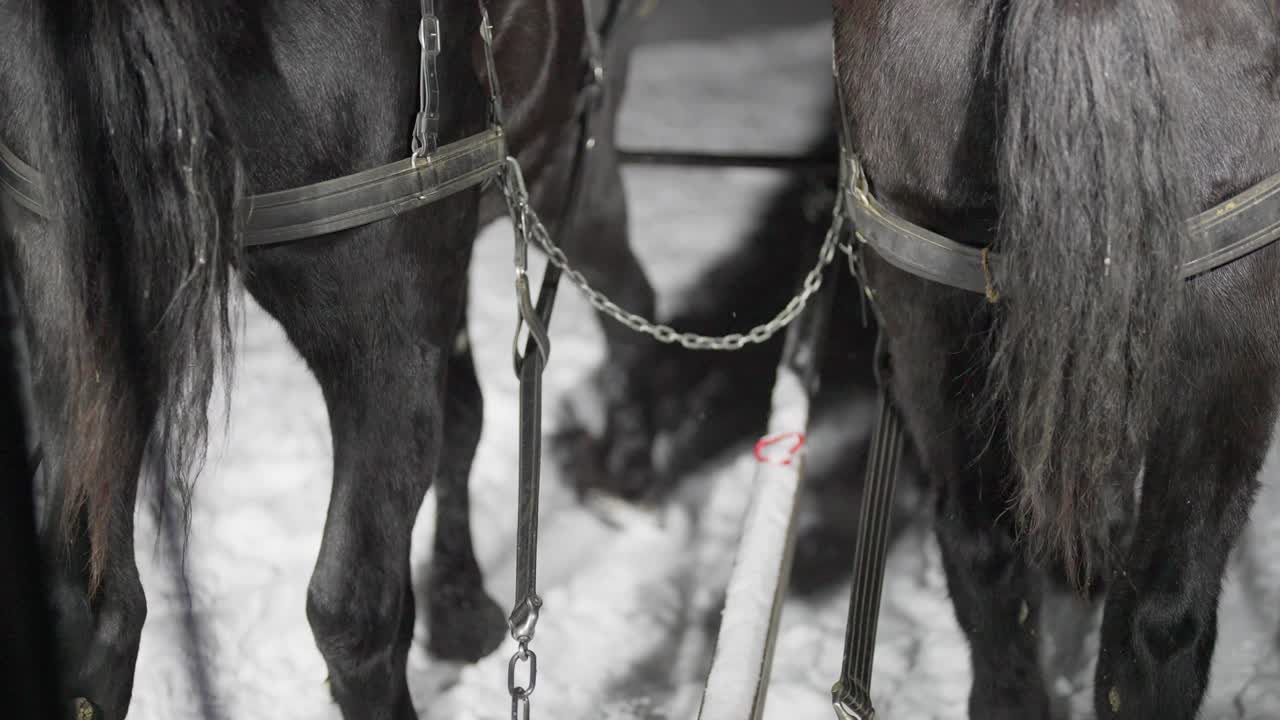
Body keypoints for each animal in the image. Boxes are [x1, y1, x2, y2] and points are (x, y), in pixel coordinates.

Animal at [0, 0, 654, 717]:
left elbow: (462, 418)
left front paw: (455, 604)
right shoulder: (566, 154)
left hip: (78, 314)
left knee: (95, 605)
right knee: (350, 609)